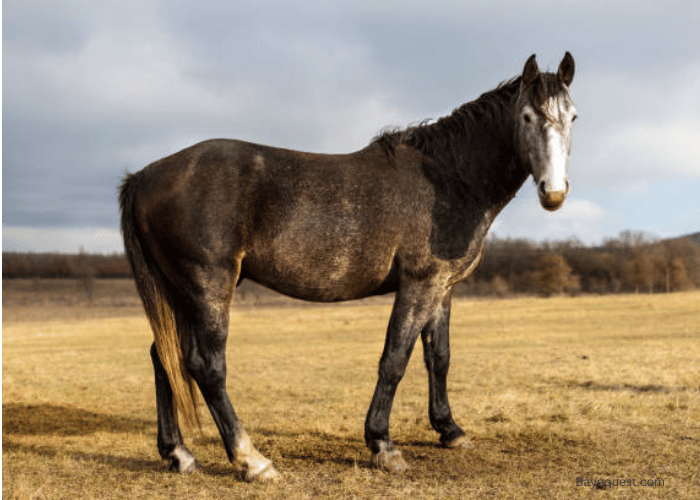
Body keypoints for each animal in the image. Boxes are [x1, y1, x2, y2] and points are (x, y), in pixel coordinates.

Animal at [119, 50, 576, 480]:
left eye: (572, 116)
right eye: (527, 116)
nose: (553, 193)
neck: (448, 180)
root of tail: (144, 176)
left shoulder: (443, 288)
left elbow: (439, 357)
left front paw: (450, 430)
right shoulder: (419, 285)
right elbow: (395, 358)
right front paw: (383, 445)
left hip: (177, 292)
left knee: (164, 357)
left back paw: (179, 454)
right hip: (209, 287)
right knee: (206, 366)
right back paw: (252, 460)